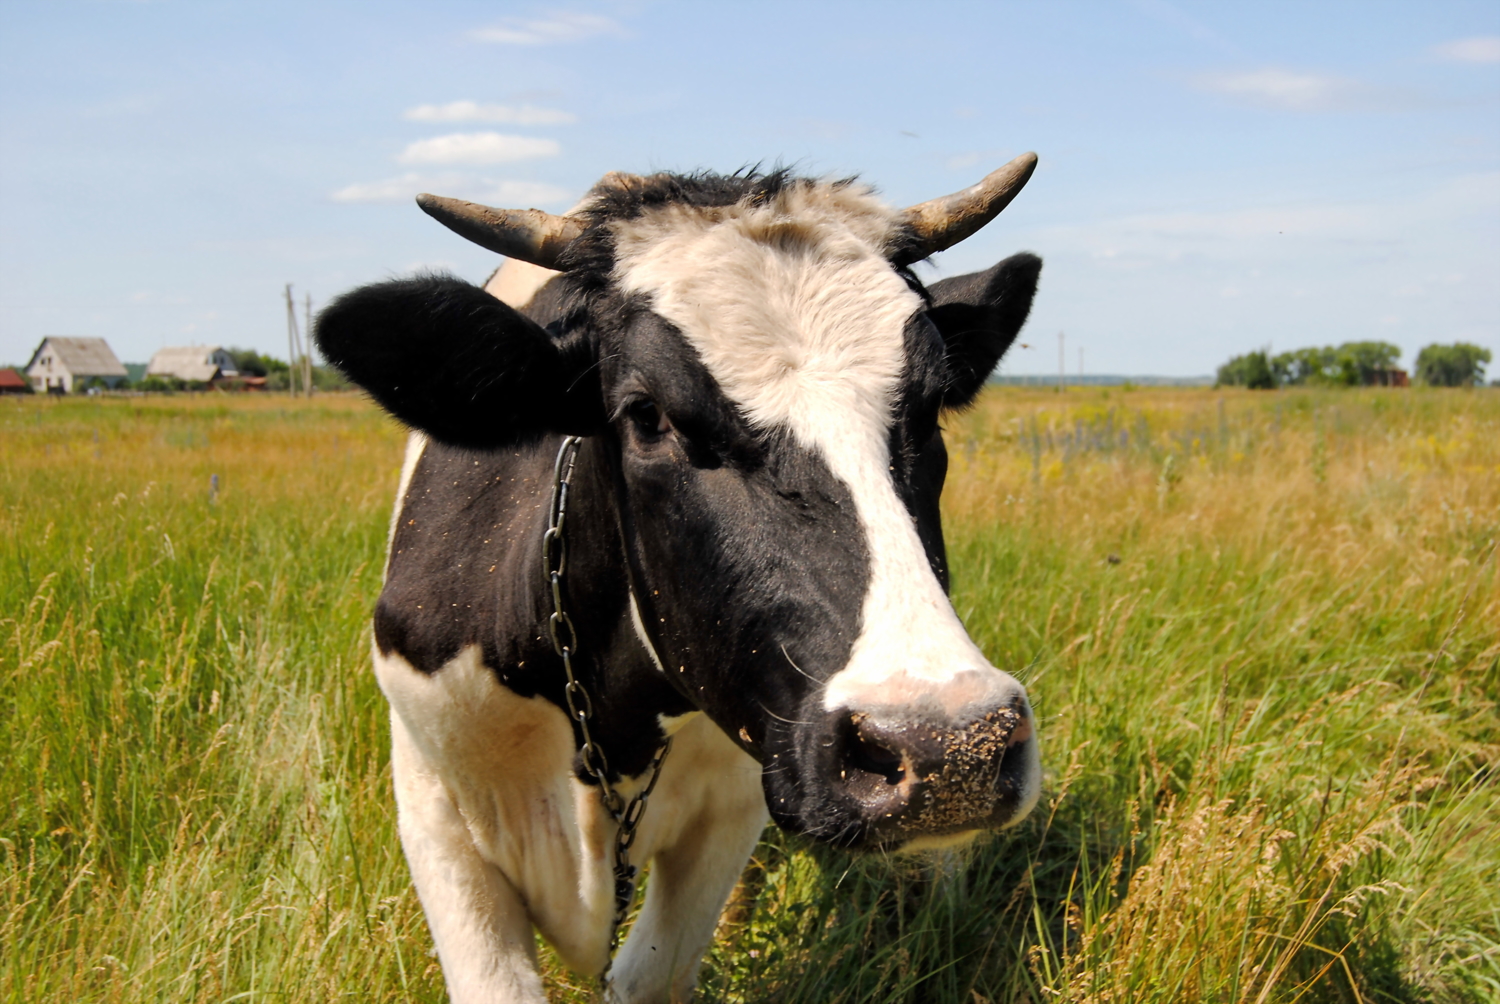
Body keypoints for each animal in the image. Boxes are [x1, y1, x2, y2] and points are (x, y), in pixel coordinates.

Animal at [313, 150, 1044, 1002]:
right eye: (646, 413)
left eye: (929, 408)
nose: (949, 748)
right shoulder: (434, 806)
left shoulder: (731, 802)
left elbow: (649, 975)